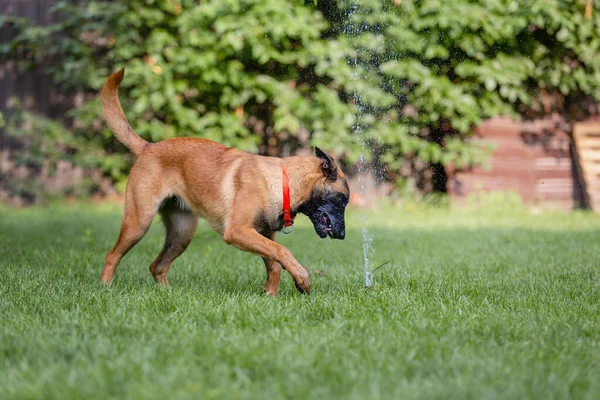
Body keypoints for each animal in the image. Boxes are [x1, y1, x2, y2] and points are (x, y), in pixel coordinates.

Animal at [100, 69, 350, 296]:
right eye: (342, 200)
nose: (342, 236)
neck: (283, 182)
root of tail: (148, 147)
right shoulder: (238, 231)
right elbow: (282, 251)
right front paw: (302, 278)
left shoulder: (264, 233)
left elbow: (275, 263)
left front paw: (270, 296)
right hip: (139, 222)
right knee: (112, 255)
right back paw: (105, 288)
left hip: (182, 233)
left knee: (157, 266)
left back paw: (168, 293)